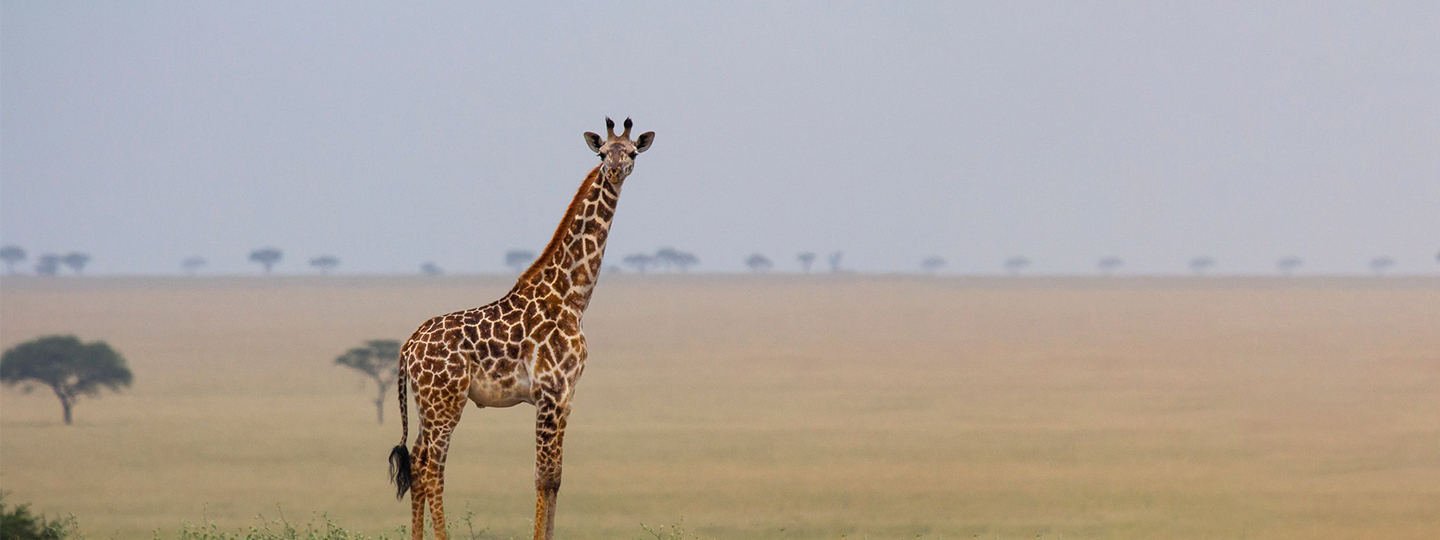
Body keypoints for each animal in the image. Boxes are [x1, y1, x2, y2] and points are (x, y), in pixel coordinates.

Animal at [388, 118, 654, 540]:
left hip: (425, 403)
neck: (572, 297)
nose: (614, 171)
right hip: (445, 402)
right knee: (431, 469)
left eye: (630, 153)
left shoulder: (567, 395)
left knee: (416, 461)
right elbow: (543, 477)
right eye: (601, 153)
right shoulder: (550, 390)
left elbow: (557, 477)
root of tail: (407, 347)